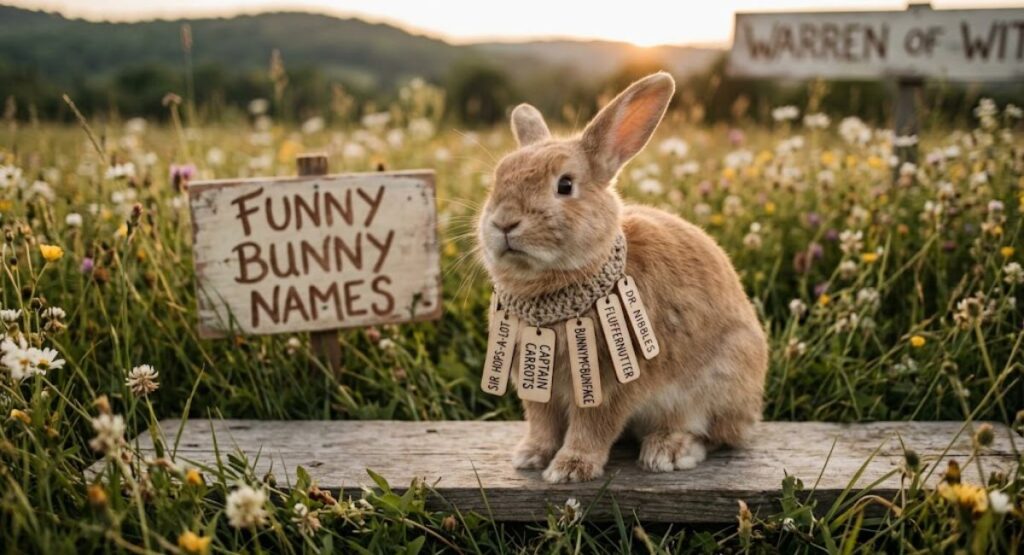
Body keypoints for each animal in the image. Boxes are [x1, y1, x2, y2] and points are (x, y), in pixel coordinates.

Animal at [476, 72, 768, 483]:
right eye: (497, 180)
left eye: (565, 185)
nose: (503, 222)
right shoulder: (537, 387)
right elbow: (542, 423)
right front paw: (530, 456)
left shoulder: (608, 385)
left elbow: (593, 427)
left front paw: (569, 469)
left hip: (718, 385)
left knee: (715, 435)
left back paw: (668, 451)